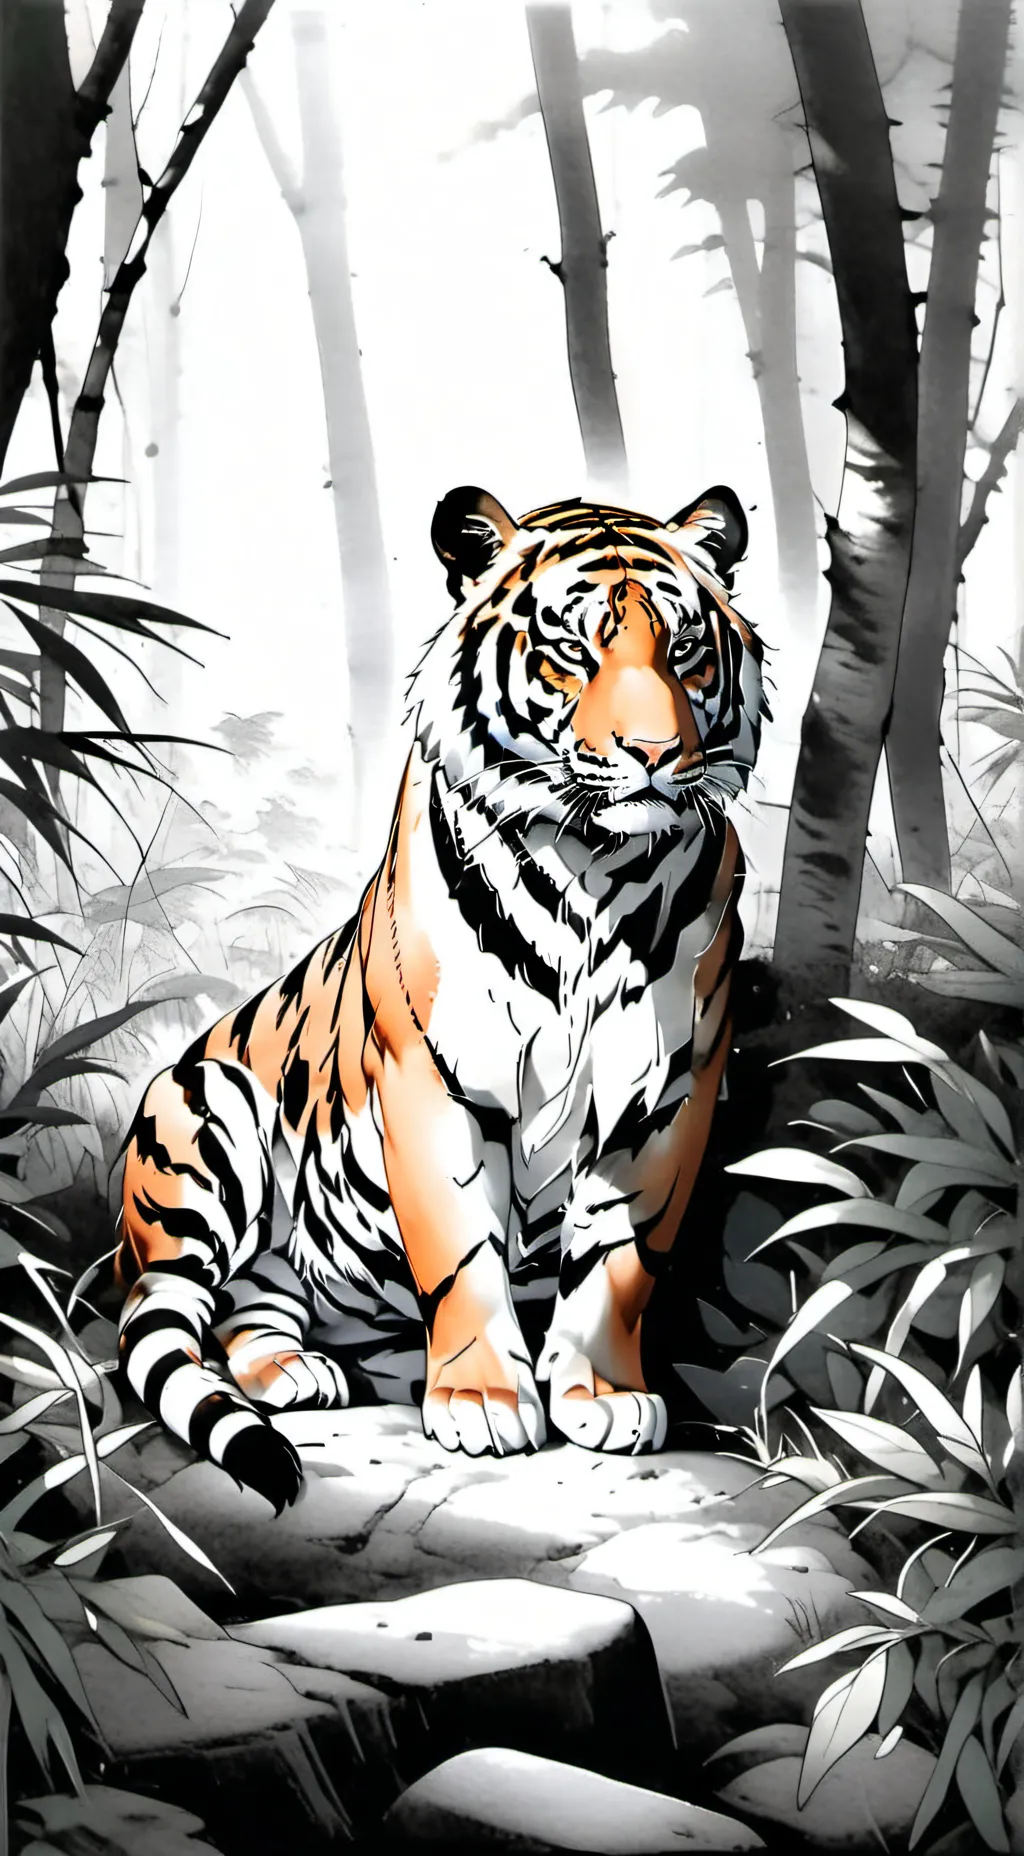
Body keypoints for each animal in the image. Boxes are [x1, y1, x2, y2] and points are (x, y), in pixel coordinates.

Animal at [106, 484, 766, 1513]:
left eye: (687, 649)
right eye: (572, 649)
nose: (657, 752)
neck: (596, 871)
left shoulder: (667, 1094)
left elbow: (619, 1262)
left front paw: (603, 1396)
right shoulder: (432, 1079)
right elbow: (462, 1252)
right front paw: (486, 1401)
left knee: (251, 1307)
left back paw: (300, 1368)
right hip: (209, 1109)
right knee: (169, 1308)